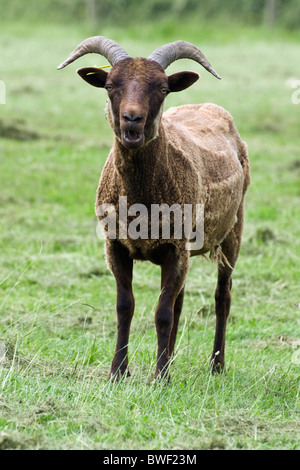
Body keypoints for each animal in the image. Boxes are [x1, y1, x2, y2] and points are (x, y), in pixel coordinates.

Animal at [57, 36, 250, 382]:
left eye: (162, 87)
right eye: (110, 85)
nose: (131, 119)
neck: (140, 203)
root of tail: (210, 106)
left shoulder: (174, 247)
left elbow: (161, 313)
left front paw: (161, 378)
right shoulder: (116, 246)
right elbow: (126, 307)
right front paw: (118, 372)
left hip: (232, 230)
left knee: (222, 297)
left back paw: (216, 365)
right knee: (180, 303)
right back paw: (171, 358)